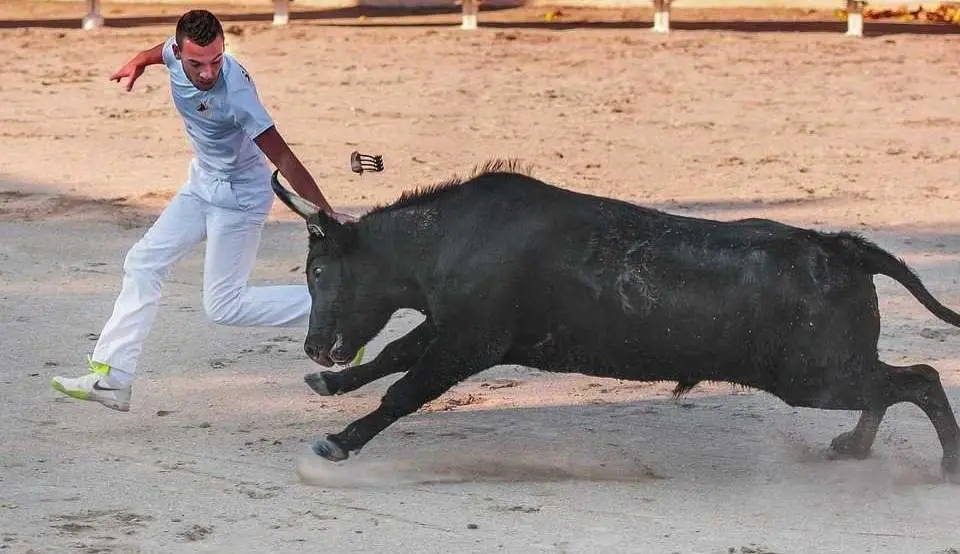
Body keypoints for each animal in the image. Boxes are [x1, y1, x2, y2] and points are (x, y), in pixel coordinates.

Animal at [268, 161, 960, 478]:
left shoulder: (469, 342)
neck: (448, 240)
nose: (315, 349)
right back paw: (854, 447)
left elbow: (404, 391)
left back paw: (945, 467)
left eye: (319, 272)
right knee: (894, 385)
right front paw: (329, 385)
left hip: (813, 377)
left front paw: (337, 441)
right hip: (828, 371)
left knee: (918, 379)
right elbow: (392, 357)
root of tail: (841, 247)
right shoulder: (450, 328)